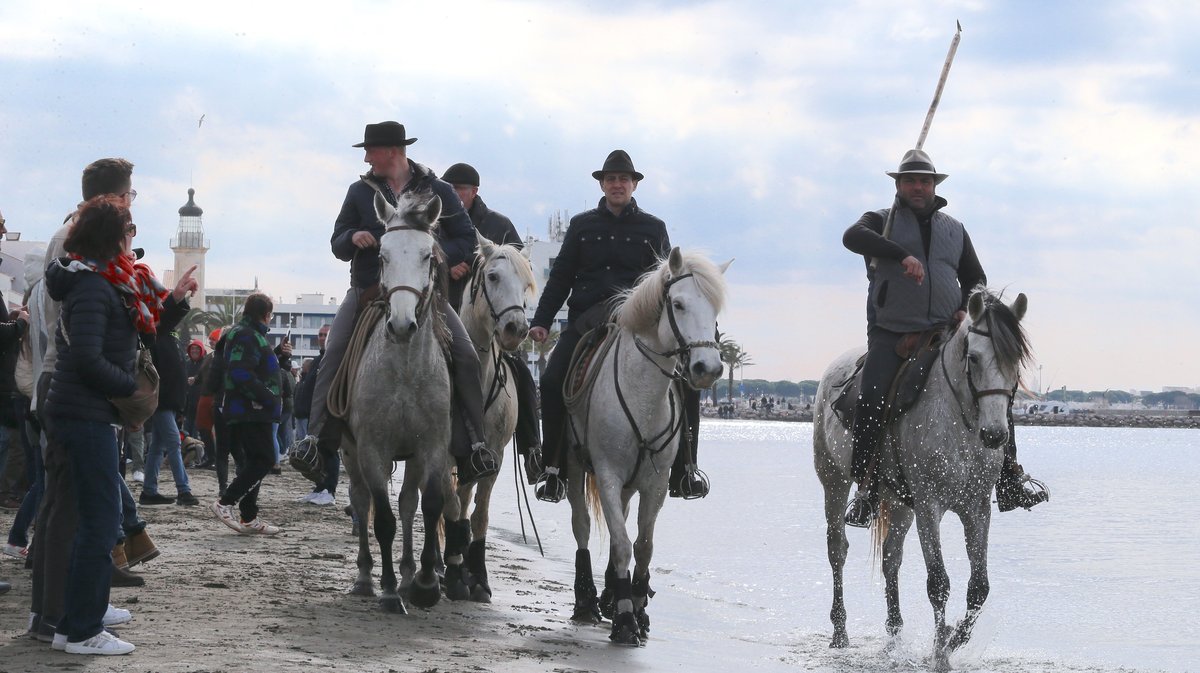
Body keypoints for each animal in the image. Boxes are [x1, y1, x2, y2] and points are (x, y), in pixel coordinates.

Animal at [566, 248, 724, 647]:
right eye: (678, 304)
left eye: (715, 309)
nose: (708, 368)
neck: (643, 395)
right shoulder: (607, 474)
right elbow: (622, 542)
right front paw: (625, 620)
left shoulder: (656, 484)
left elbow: (643, 545)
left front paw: (636, 606)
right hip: (575, 471)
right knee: (582, 526)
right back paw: (587, 601)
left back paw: (610, 595)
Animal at [816, 285, 1032, 667]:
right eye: (973, 358)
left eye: (1015, 360)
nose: (995, 435)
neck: (960, 421)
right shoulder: (929, 507)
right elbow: (938, 583)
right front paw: (941, 653)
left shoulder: (976, 508)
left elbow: (979, 587)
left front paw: (953, 639)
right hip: (834, 482)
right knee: (837, 549)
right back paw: (840, 632)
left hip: (899, 502)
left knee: (891, 559)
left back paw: (893, 637)